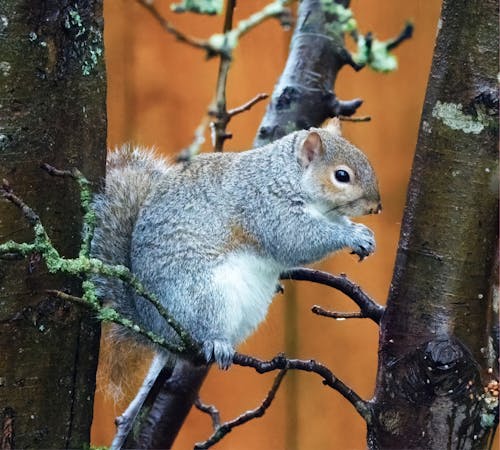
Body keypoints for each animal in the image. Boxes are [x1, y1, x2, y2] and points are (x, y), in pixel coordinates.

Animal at [91, 119, 378, 370]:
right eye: (342, 175)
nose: (376, 206)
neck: (286, 176)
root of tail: (154, 328)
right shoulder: (265, 207)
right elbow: (295, 239)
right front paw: (351, 235)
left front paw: (362, 233)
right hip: (205, 296)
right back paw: (216, 342)